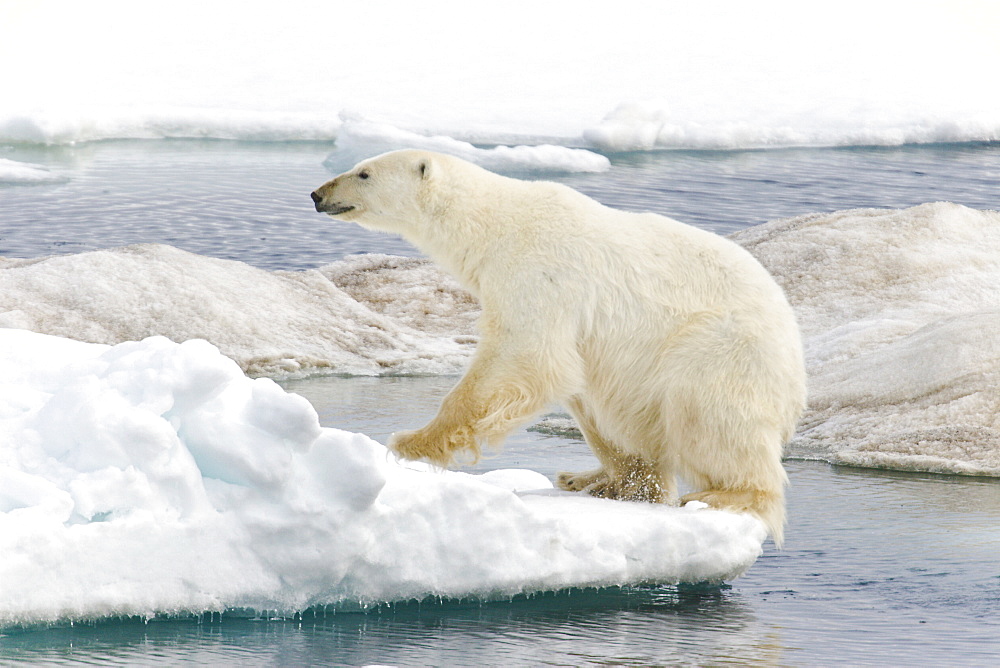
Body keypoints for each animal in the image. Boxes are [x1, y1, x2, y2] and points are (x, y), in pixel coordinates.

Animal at [310, 149, 804, 544]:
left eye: (363, 173)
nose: (317, 194)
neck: (496, 226)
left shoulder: (539, 275)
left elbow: (521, 354)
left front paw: (411, 442)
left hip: (717, 347)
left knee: (711, 418)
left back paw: (726, 492)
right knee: (607, 409)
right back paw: (596, 479)